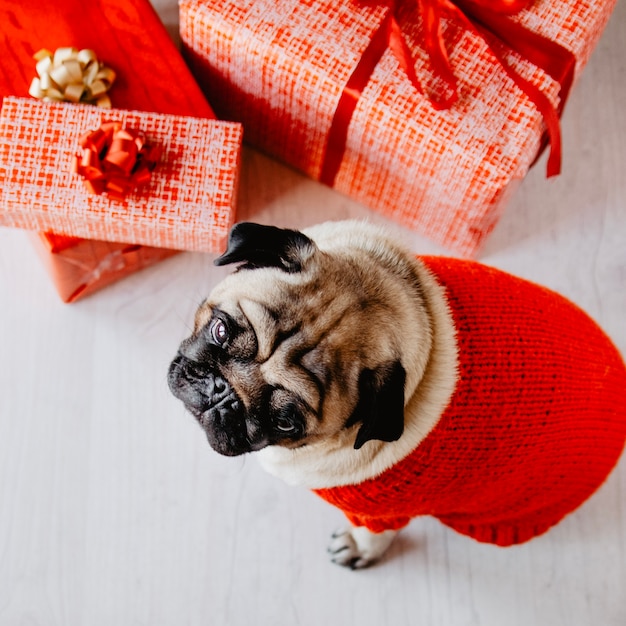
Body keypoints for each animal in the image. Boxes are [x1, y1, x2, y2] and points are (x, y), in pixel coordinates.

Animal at [168, 218, 624, 564]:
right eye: (221, 330)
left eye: (286, 422)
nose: (222, 393)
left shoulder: (381, 512)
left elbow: (374, 536)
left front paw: (359, 549)